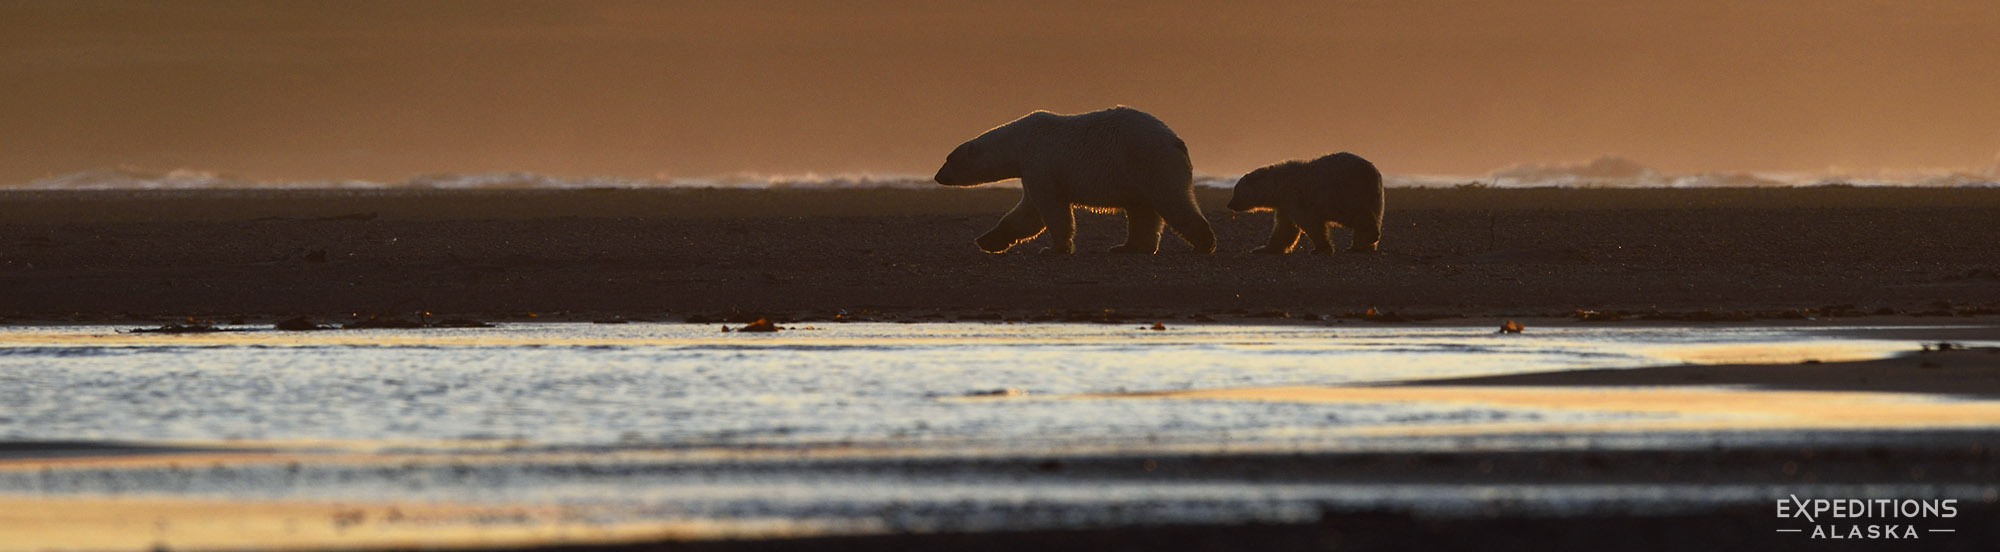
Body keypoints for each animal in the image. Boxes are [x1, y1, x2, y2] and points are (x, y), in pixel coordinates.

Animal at [933, 106, 1216, 254]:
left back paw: (1205, 242)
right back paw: (1128, 247)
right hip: (1137, 174)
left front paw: (1055, 248)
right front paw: (988, 240)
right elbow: (1027, 213)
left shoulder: (1040, 162)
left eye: (949, 159)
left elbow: (1051, 209)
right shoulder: (1031, 170)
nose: (937, 176)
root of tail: (1176, 141)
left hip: (1150, 162)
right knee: (1142, 210)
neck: (1019, 141)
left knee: (1171, 201)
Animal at [1226, 152, 1384, 254]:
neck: (1278, 186)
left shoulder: (1295, 197)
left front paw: (1321, 248)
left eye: (1236, 191)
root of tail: (1374, 171)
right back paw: (1360, 246)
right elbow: (1284, 228)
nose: (1230, 204)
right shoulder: (1284, 204)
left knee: (1356, 215)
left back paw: (1368, 238)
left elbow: (1310, 222)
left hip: (1345, 192)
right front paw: (1263, 248)